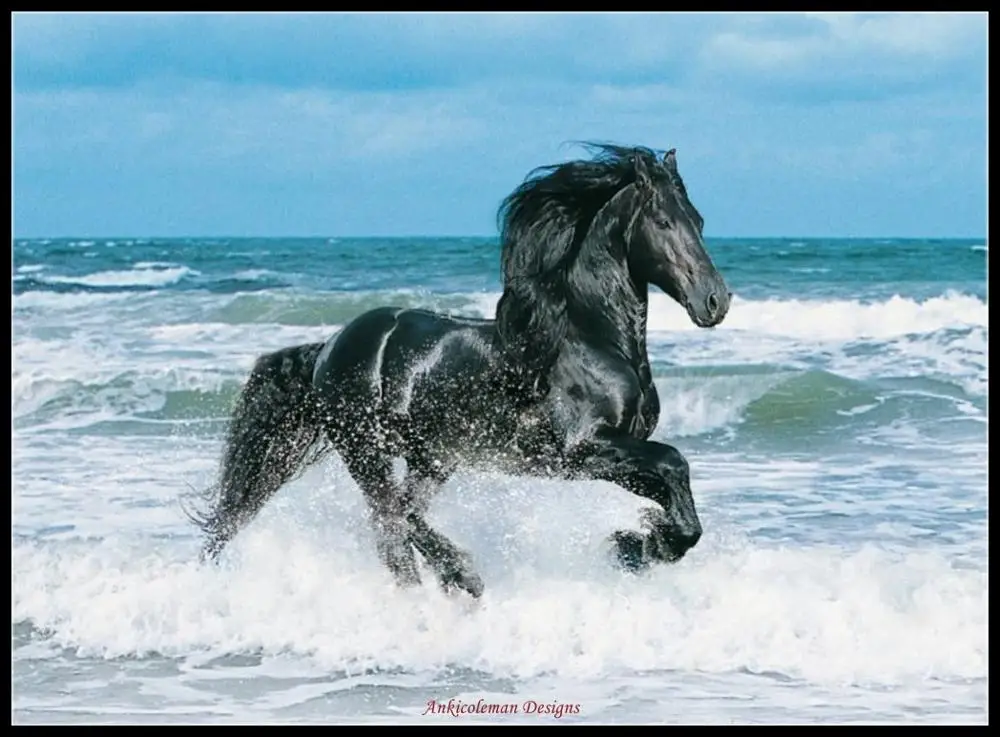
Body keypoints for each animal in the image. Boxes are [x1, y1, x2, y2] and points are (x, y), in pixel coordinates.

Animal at [187, 143, 731, 599]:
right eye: (663, 221)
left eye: (699, 220)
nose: (715, 301)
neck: (591, 340)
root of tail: (329, 347)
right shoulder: (580, 452)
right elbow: (674, 462)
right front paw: (636, 545)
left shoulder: (616, 454)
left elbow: (676, 496)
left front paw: (638, 545)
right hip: (367, 452)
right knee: (392, 518)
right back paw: (456, 578)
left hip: (432, 459)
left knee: (400, 518)